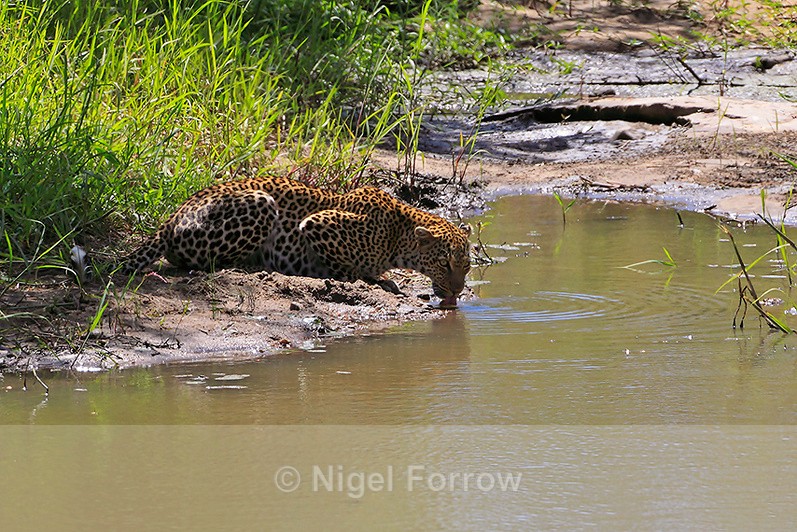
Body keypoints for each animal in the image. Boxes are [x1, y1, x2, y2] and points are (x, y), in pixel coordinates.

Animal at [122, 175, 472, 306]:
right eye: (444, 264)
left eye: (467, 267)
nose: (457, 292)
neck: (398, 234)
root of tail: (169, 220)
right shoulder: (316, 224)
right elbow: (350, 268)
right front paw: (372, 279)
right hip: (262, 203)